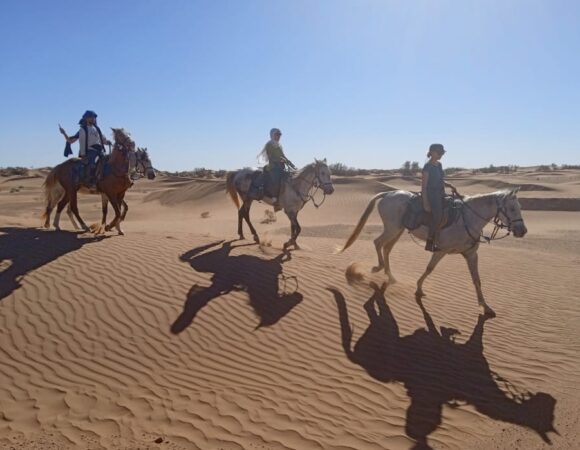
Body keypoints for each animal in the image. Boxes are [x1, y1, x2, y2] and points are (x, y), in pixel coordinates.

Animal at [338, 189, 528, 316]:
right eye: (512, 208)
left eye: (519, 206)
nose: (522, 231)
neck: (467, 219)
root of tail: (388, 194)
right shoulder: (441, 250)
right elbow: (429, 269)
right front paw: (418, 289)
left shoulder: (471, 255)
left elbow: (477, 280)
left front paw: (485, 306)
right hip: (392, 229)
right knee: (378, 243)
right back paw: (377, 268)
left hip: (397, 230)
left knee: (386, 248)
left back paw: (390, 276)